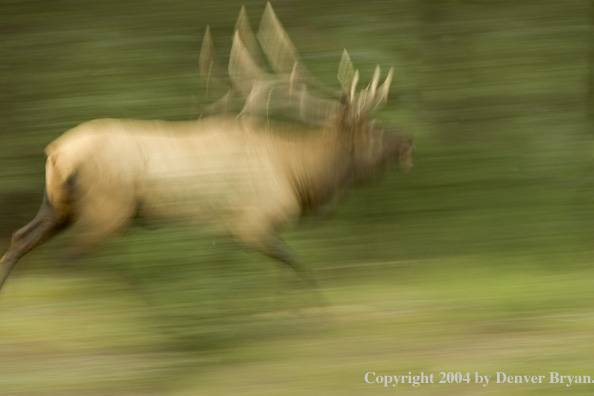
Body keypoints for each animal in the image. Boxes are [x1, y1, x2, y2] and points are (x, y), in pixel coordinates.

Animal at [0, 3, 414, 294]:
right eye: (373, 130)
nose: (407, 142)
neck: (300, 175)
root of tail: (58, 154)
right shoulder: (252, 220)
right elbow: (298, 265)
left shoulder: (224, 230)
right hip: (108, 209)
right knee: (68, 258)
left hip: (59, 205)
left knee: (20, 238)